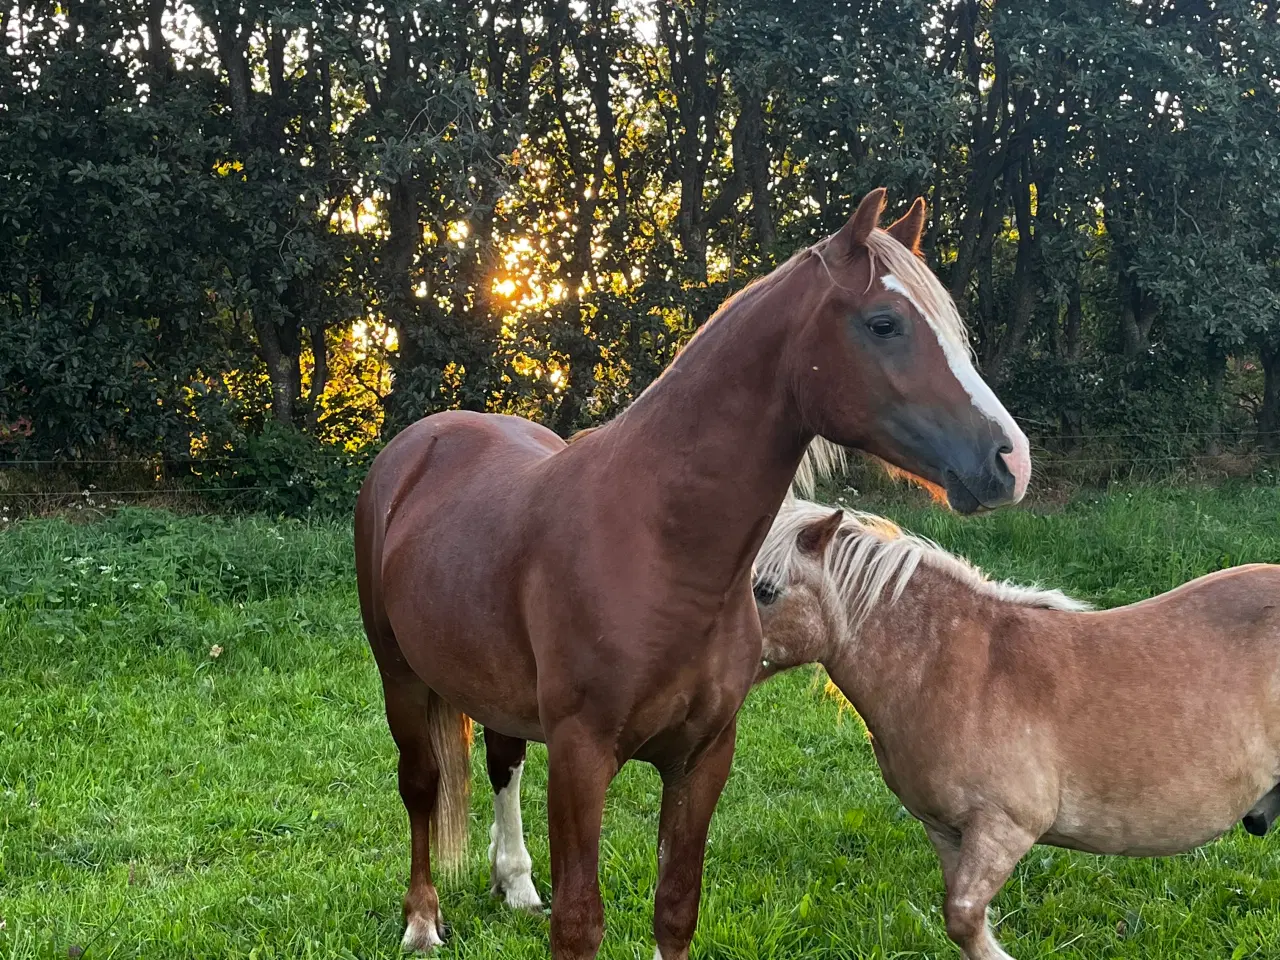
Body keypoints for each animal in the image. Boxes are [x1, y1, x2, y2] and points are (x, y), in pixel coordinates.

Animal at [355, 189, 1034, 960]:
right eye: (884, 323)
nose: (1011, 460)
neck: (661, 550)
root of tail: (420, 442)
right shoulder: (581, 758)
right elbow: (579, 922)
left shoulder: (704, 756)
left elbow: (676, 908)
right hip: (400, 676)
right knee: (421, 784)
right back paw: (421, 920)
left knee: (503, 763)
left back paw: (516, 885)